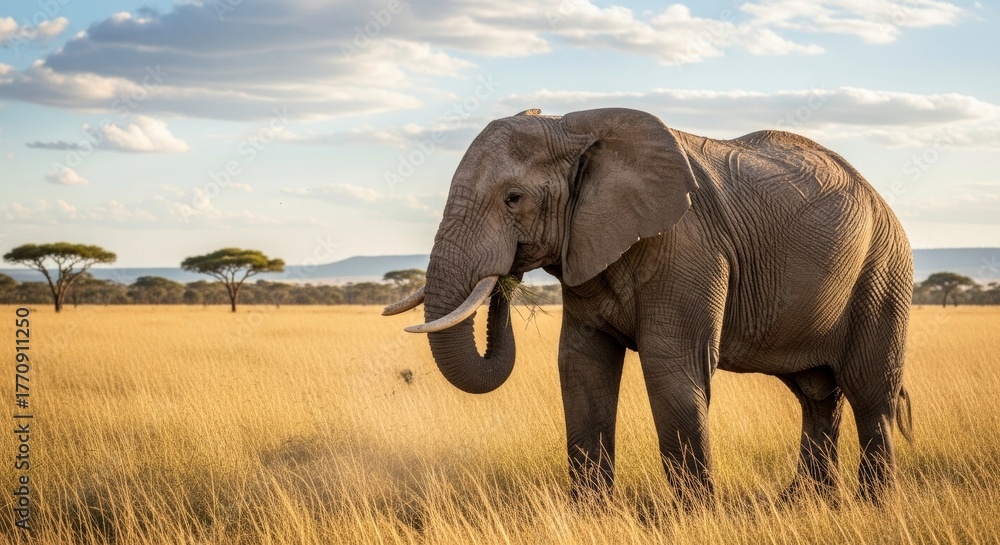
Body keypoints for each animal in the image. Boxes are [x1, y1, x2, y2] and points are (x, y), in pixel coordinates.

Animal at [383, 107, 913, 504]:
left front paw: (695, 516)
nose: (506, 279)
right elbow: (582, 364)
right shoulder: (588, 245)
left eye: (513, 199)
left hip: (883, 270)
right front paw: (591, 513)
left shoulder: (689, 247)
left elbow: (671, 367)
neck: (577, 126)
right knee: (817, 395)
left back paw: (873, 505)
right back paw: (804, 502)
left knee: (871, 392)